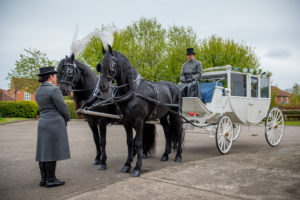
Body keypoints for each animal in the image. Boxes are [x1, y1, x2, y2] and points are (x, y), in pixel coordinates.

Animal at [98, 45, 183, 177]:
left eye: (112, 64)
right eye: (101, 65)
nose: (102, 86)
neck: (133, 91)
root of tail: (175, 87)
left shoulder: (139, 121)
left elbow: (138, 142)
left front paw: (137, 168)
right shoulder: (126, 121)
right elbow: (129, 142)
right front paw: (127, 164)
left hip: (175, 114)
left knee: (178, 131)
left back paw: (178, 155)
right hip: (163, 115)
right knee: (167, 131)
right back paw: (165, 154)